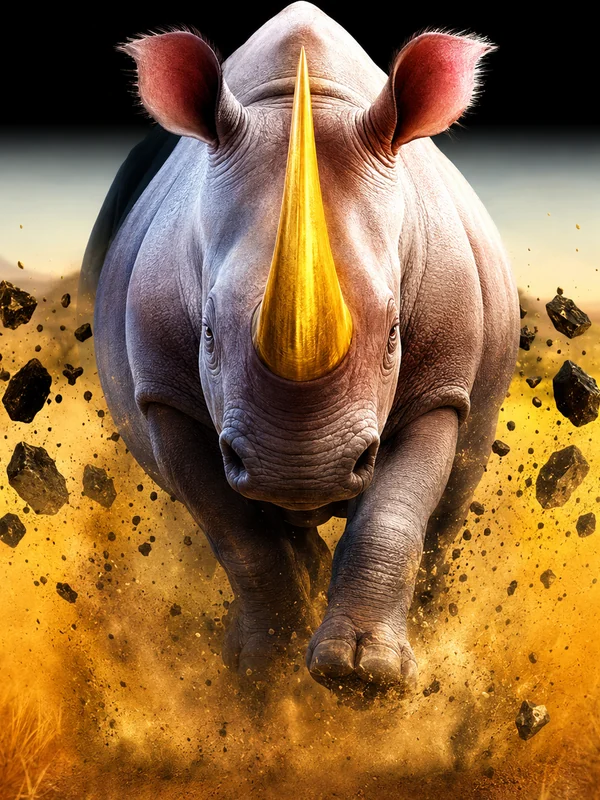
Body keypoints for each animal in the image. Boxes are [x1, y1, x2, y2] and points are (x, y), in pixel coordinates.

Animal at [80, 2, 519, 691]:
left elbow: (394, 510)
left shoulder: (441, 385)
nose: (298, 472)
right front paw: (267, 671)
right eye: (208, 334)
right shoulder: (163, 394)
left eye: (394, 335)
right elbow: (236, 533)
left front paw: (363, 678)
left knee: (452, 498)